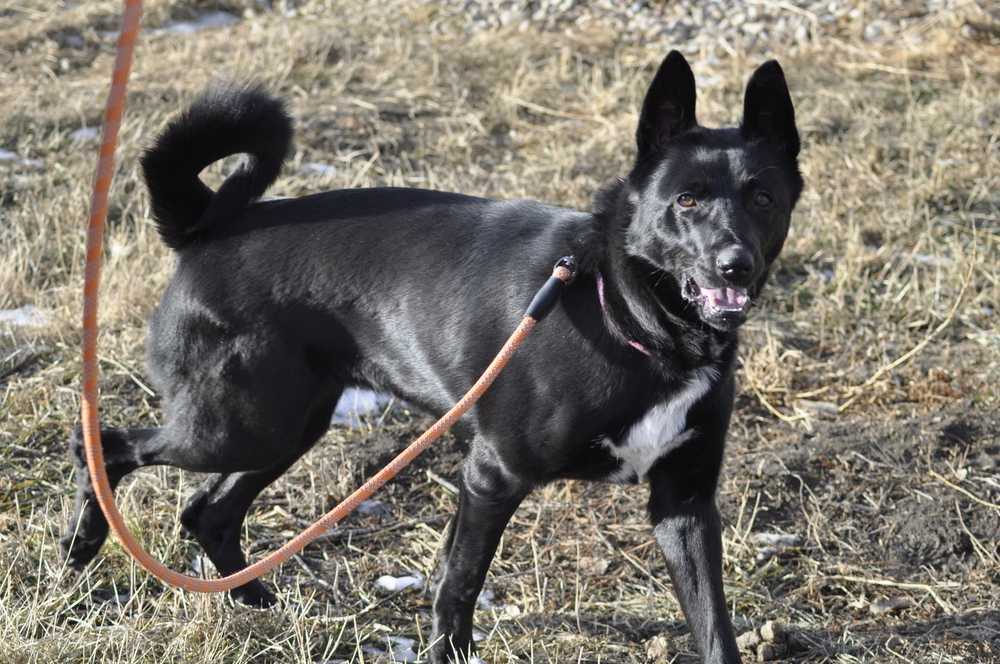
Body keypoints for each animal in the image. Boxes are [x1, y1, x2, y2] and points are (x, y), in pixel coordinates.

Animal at [62, 52, 800, 664]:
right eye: (686, 200)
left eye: (763, 197)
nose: (735, 265)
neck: (629, 316)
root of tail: (207, 225)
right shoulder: (492, 476)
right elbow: (459, 584)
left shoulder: (684, 502)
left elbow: (714, 626)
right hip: (239, 424)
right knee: (108, 445)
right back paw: (79, 552)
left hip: (289, 423)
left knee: (207, 513)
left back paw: (260, 606)